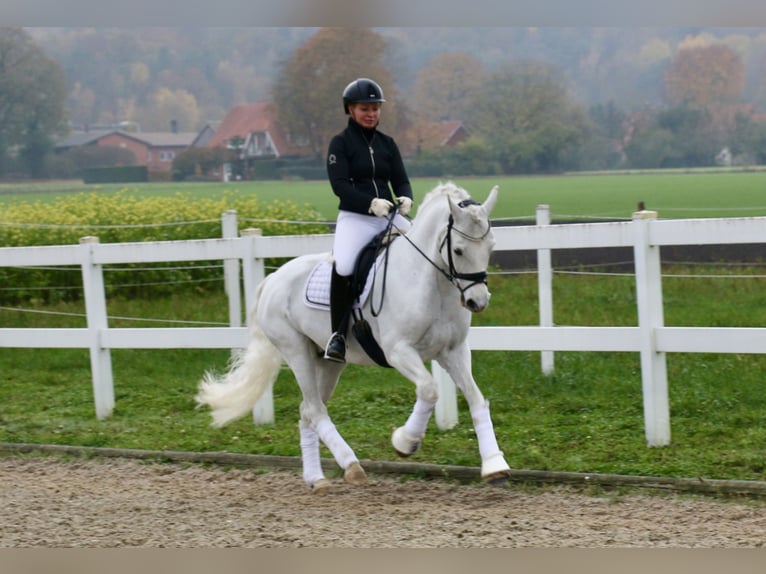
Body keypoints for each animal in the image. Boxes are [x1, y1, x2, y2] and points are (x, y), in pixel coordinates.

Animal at [195, 181, 512, 496]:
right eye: (458, 250)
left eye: (491, 247)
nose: (477, 302)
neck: (428, 281)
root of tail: (273, 279)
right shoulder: (398, 351)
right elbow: (429, 390)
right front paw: (405, 442)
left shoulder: (454, 351)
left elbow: (476, 399)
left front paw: (494, 465)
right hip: (295, 351)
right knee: (315, 409)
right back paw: (351, 466)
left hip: (327, 362)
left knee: (307, 411)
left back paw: (317, 478)